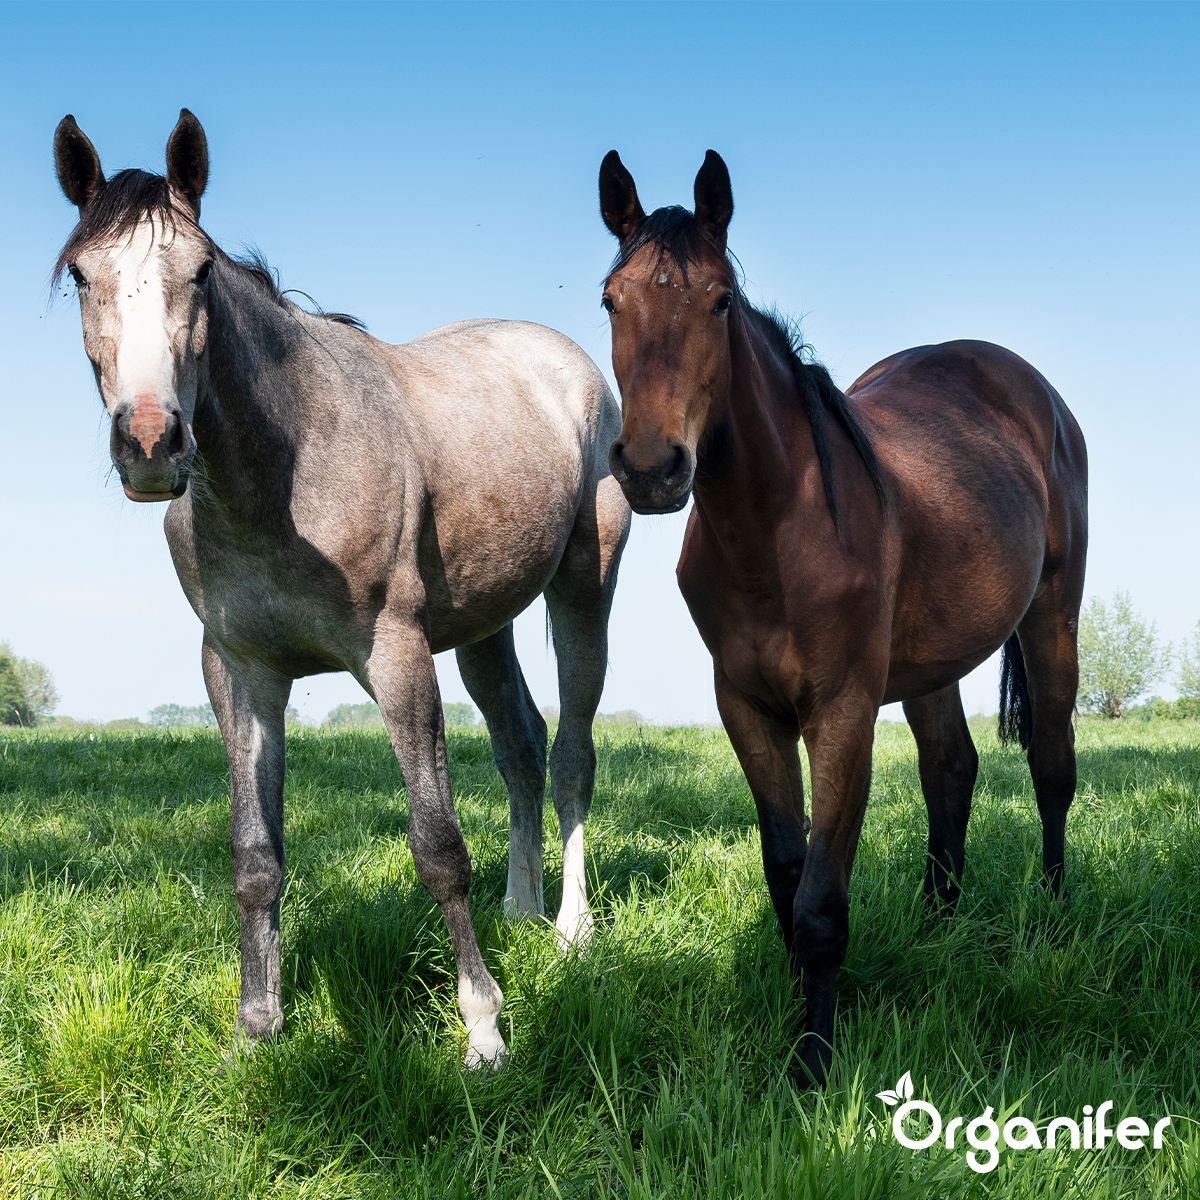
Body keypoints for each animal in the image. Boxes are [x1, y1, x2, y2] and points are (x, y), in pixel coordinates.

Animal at [50, 108, 631, 1066]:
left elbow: (437, 848)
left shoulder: (396, 660)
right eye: (79, 275)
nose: (151, 443)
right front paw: (257, 1029)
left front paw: (484, 1031)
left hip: (584, 591)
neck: (282, 476)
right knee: (520, 744)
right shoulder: (241, 675)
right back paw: (520, 909)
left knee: (573, 754)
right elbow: (256, 858)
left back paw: (572, 933)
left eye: (199, 271)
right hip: (484, 628)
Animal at [596, 149, 1087, 1086]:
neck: (774, 533)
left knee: (1051, 765)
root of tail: (1031, 389)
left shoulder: (843, 712)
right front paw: (800, 1020)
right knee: (951, 770)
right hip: (933, 664)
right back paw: (939, 925)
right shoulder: (748, 710)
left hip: (1053, 616)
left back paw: (1050, 914)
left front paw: (813, 1068)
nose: (650, 467)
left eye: (720, 300)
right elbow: (786, 874)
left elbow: (822, 900)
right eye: (610, 298)